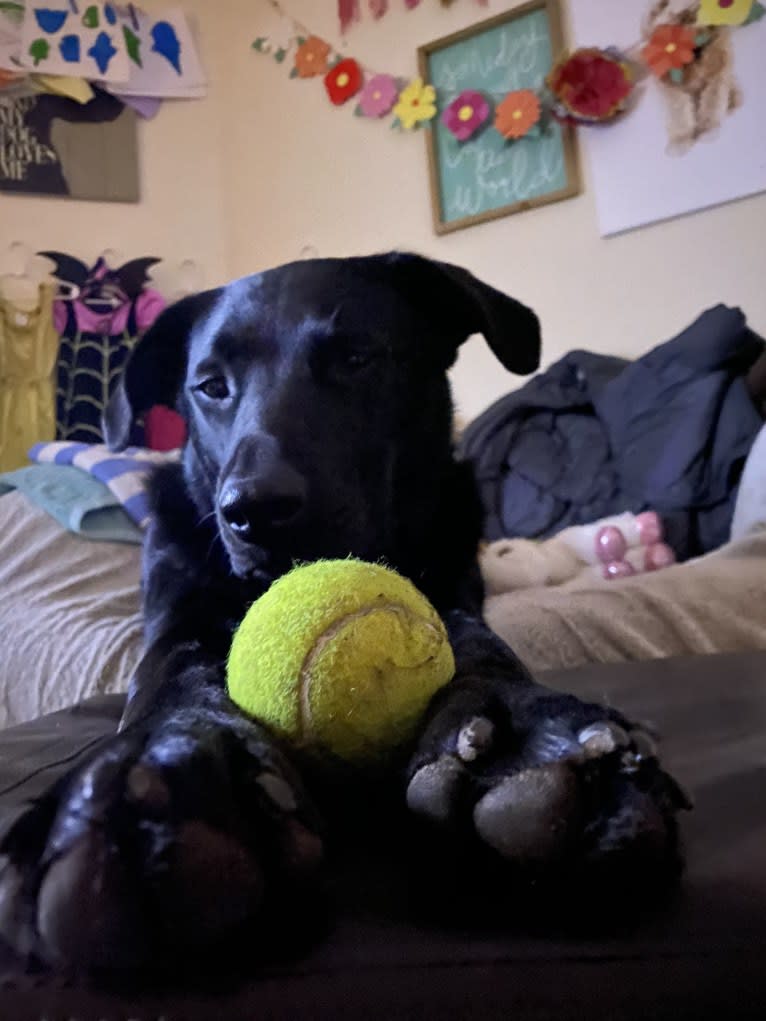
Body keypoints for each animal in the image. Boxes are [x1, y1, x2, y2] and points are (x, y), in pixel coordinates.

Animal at [0, 251, 690, 967]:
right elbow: (173, 676)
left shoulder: (456, 596)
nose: (255, 511)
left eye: (357, 358)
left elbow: (480, 646)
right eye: (211, 386)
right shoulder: (174, 621)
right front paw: (170, 763)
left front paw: (524, 737)